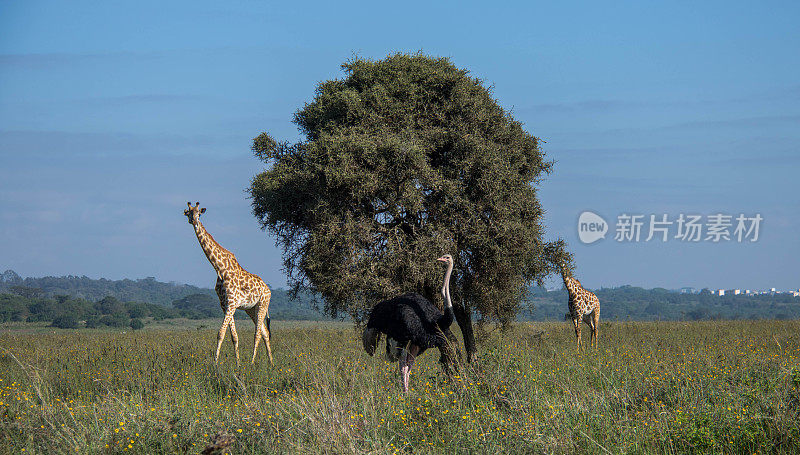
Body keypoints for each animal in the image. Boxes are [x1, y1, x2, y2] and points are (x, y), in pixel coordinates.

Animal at [183, 203, 274, 366]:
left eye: (199, 213)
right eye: (188, 213)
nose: (193, 221)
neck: (219, 268)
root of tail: (268, 289)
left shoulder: (231, 304)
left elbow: (220, 333)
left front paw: (215, 364)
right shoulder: (225, 305)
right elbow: (233, 336)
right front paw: (237, 363)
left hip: (263, 305)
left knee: (258, 333)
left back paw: (252, 362)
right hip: (251, 309)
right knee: (264, 332)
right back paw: (271, 362)